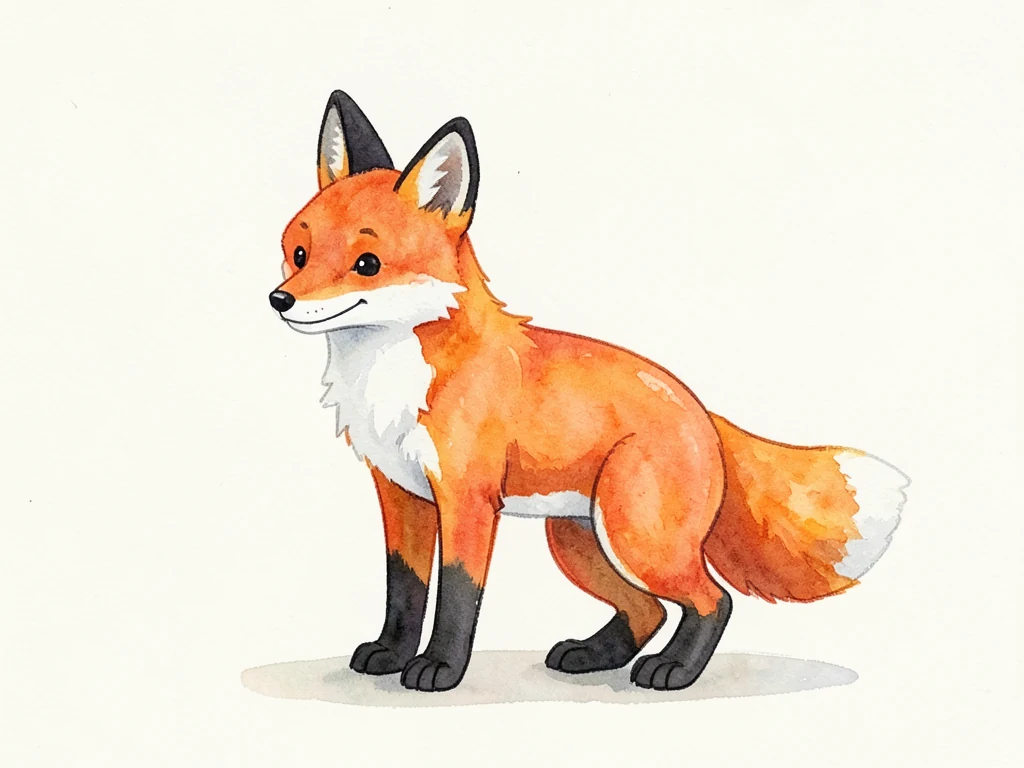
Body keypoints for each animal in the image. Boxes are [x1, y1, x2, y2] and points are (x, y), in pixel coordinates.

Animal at [268, 91, 910, 693]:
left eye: (367, 263)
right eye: (298, 254)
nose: (280, 300)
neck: (392, 377)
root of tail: (702, 410)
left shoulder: (467, 501)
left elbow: (456, 595)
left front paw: (440, 668)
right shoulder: (402, 496)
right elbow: (404, 589)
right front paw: (391, 654)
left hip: (635, 538)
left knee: (713, 600)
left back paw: (673, 671)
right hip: (580, 541)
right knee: (649, 611)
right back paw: (594, 655)